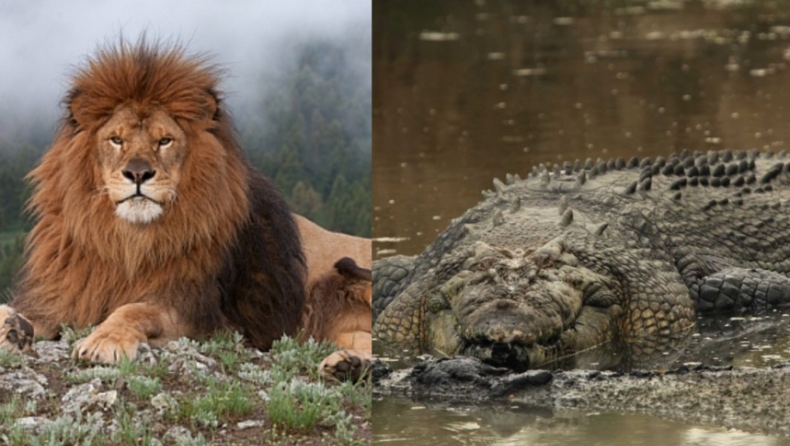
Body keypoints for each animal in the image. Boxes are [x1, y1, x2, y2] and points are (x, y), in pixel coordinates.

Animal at [0, 41, 310, 362]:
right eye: (116, 140)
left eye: (164, 141)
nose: (138, 173)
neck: (129, 242)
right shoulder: (61, 294)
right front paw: (10, 328)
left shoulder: (196, 311)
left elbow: (136, 309)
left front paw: (104, 340)